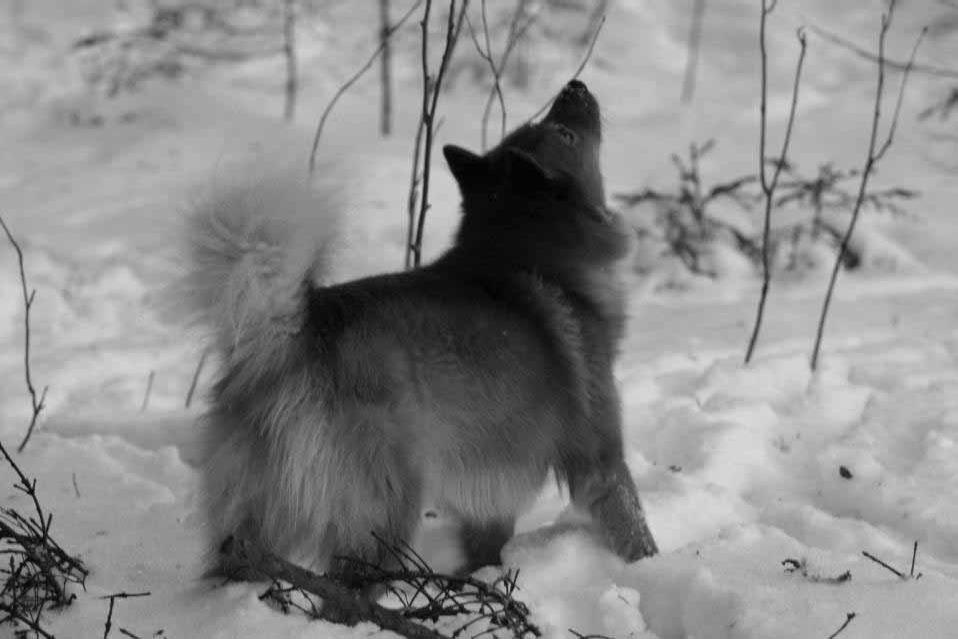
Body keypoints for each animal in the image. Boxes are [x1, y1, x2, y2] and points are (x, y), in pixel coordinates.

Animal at [184, 79, 656, 580]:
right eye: (564, 133)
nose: (575, 85)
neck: (529, 254)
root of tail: (295, 333)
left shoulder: (490, 494)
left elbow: (487, 546)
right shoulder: (600, 457)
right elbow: (633, 526)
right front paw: (651, 567)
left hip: (252, 523)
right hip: (384, 510)